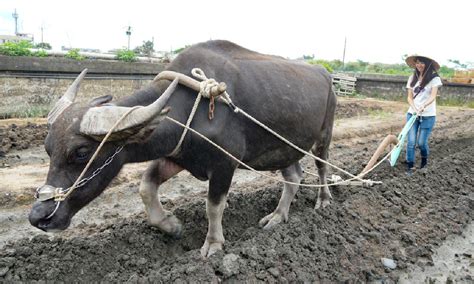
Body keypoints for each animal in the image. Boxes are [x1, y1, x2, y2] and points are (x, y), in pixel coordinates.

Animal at [29, 40, 336, 258]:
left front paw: (213, 245)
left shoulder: (225, 165)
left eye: (81, 152)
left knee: (321, 168)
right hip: (286, 147)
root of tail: (325, 74)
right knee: (293, 177)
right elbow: (146, 186)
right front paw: (171, 225)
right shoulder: (177, 156)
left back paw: (323, 201)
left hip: (324, 136)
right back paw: (277, 217)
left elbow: (213, 206)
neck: (192, 106)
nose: (38, 217)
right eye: (47, 149)